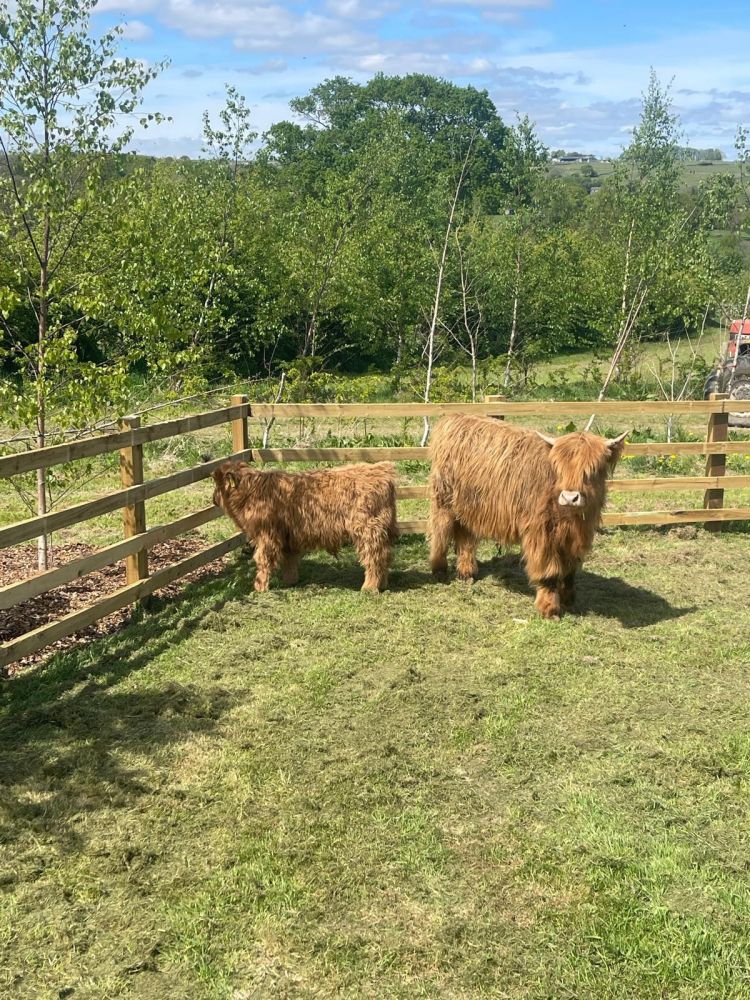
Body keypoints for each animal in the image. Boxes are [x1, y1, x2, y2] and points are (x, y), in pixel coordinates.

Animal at [212, 460, 398, 593]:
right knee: (385, 555)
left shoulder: (267, 536)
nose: (213, 499)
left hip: (368, 530)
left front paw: (260, 587)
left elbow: (263, 560)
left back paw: (369, 587)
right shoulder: (287, 536)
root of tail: (382, 471)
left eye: (217, 483)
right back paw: (382, 584)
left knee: (374, 557)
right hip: (384, 529)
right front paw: (290, 581)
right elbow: (289, 560)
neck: (251, 493)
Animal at [428, 416, 627, 619]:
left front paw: (568, 600)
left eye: (592, 469)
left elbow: (570, 570)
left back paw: (466, 573)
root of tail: (455, 417)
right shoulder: (542, 534)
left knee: (465, 536)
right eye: (558, 467)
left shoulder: (577, 536)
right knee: (440, 531)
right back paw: (439, 570)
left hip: (468, 506)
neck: (571, 519)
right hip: (444, 500)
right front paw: (550, 609)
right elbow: (550, 573)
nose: (570, 497)